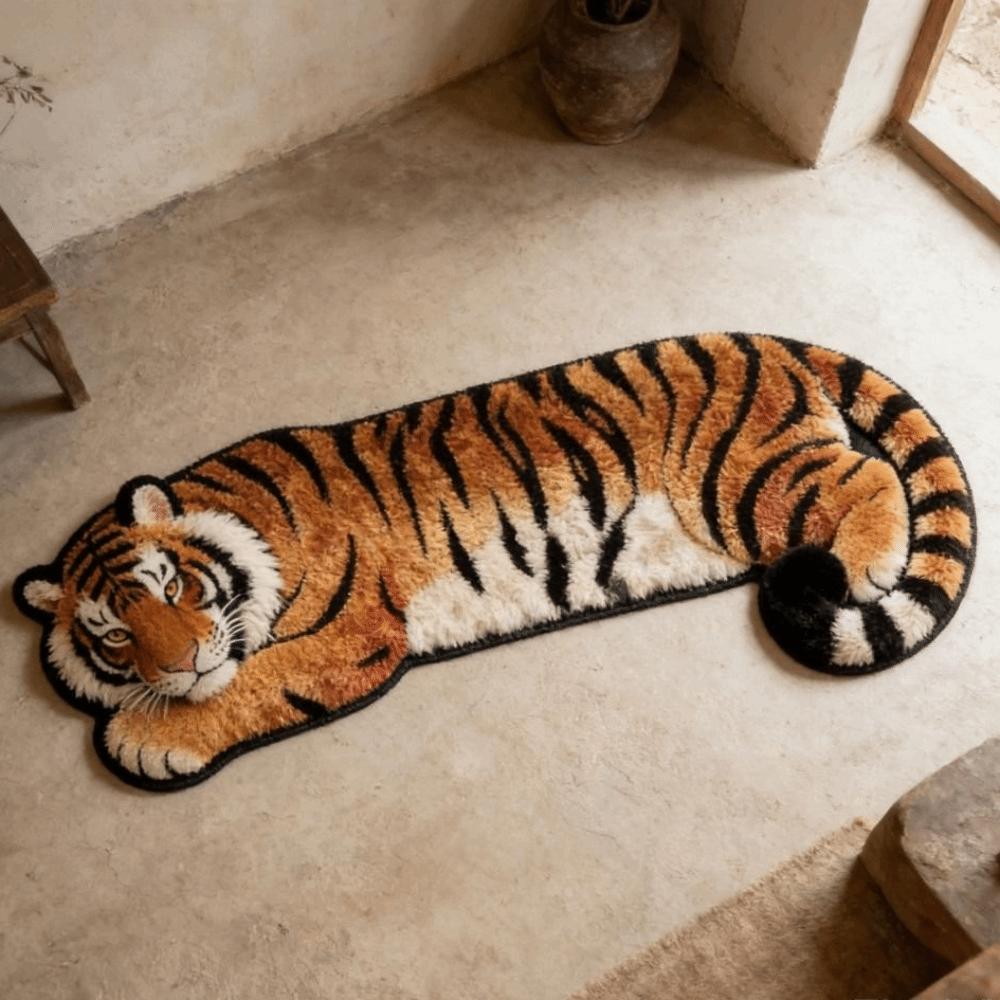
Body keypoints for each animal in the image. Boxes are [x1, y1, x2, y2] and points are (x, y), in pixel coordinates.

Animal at [14, 333, 975, 790]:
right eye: (111, 635)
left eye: (173, 585)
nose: (178, 664)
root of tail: (762, 340)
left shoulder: (355, 632)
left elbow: (251, 683)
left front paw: (145, 738)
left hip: (743, 480)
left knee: (866, 474)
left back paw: (862, 568)